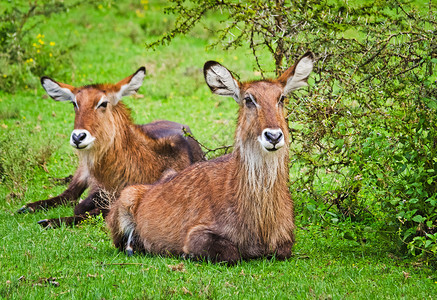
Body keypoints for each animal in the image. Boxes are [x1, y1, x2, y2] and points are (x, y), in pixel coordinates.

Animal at [17, 67, 205, 227]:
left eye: (103, 103)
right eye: (74, 103)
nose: (78, 137)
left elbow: (89, 210)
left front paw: (52, 221)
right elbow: (81, 205)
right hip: (82, 171)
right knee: (68, 194)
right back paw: (29, 207)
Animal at [107, 52, 316, 264]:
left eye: (281, 98)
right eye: (249, 99)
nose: (273, 136)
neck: (261, 224)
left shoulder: (286, 241)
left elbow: (283, 251)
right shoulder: (196, 232)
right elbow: (231, 253)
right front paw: (185, 253)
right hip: (126, 199)